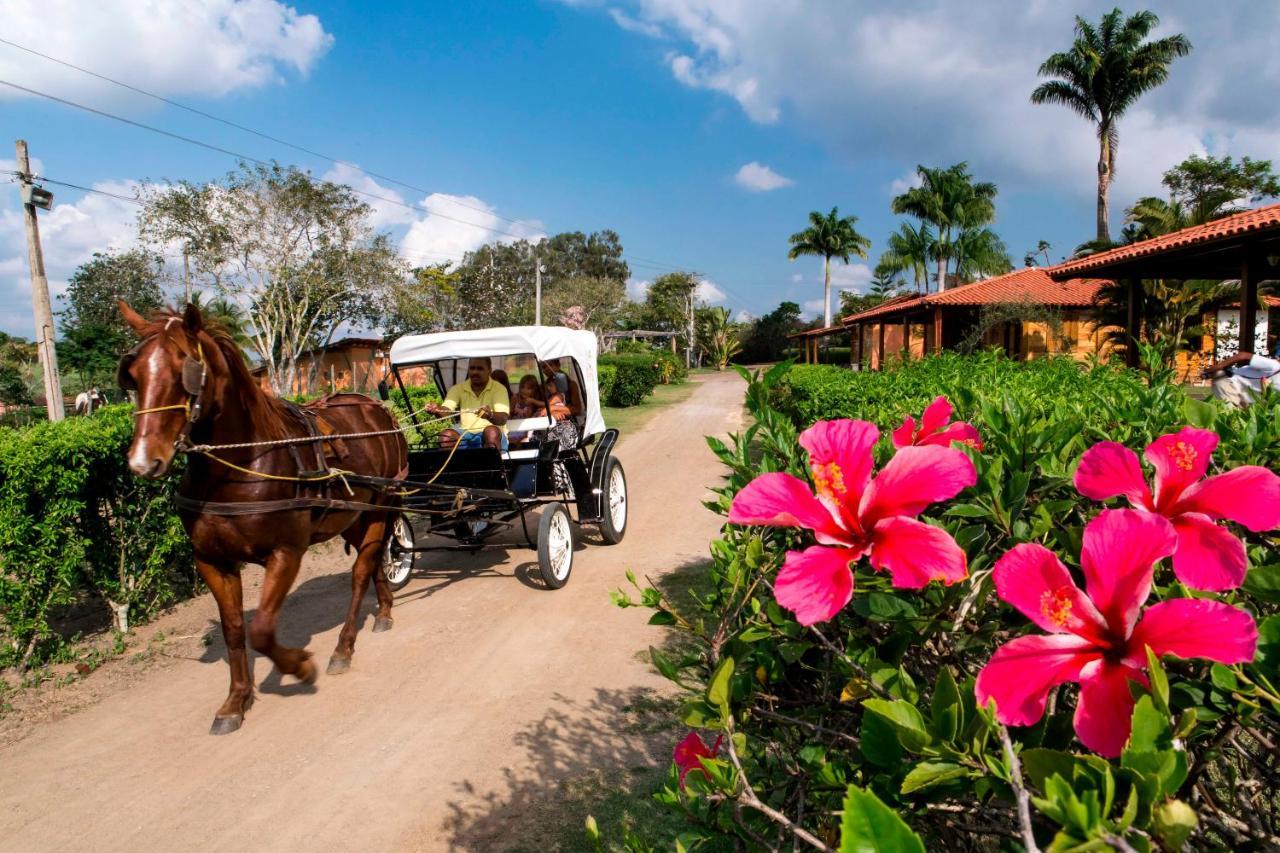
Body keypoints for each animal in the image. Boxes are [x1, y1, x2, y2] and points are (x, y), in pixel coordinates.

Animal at [119, 300, 407, 732]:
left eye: (185, 369)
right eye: (133, 374)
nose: (143, 461)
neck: (241, 464)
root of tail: (376, 407)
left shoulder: (286, 552)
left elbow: (262, 631)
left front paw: (300, 666)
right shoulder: (211, 560)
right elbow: (235, 630)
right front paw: (236, 699)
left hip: (381, 503)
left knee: (361, 571)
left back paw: (344, 646)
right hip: (353, 515)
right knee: (372, 560)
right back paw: (384, 608)